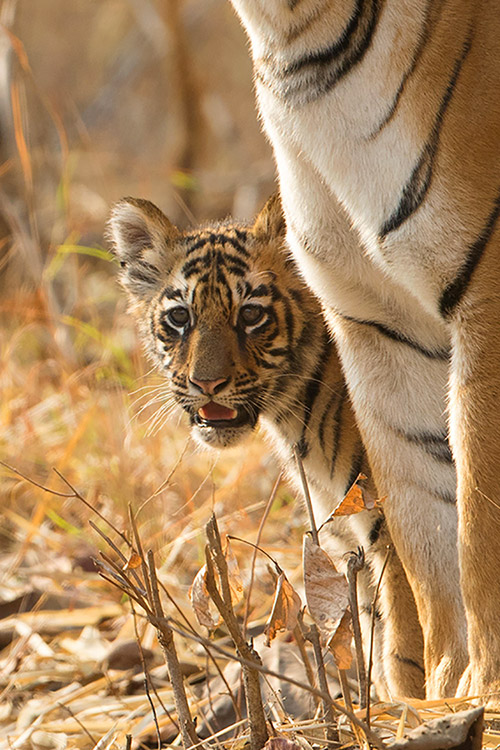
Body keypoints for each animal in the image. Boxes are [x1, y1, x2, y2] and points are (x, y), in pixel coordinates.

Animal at [108, 192, 426, 700]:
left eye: (251, 315)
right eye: (180, 317)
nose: (207, 384)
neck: (294, 417)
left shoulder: (388, 527)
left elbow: (405, 638)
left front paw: (415, 704)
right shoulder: (345, 535)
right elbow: (370, 632)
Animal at [228, 0, 500, 704]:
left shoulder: (490, 299)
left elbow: (481, 528)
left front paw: (486, 691)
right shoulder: (377, 323)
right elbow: (427, 537)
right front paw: (443, 693)